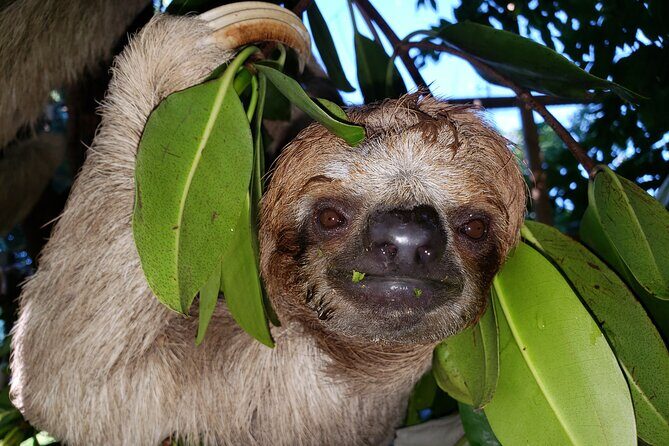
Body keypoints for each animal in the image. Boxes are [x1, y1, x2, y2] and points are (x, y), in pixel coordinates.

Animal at [9, 6, 526, 446]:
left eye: (474, 228)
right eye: (330, 216)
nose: (406, 239)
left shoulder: (257, 381)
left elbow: (73, 378)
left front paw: (185, 51)